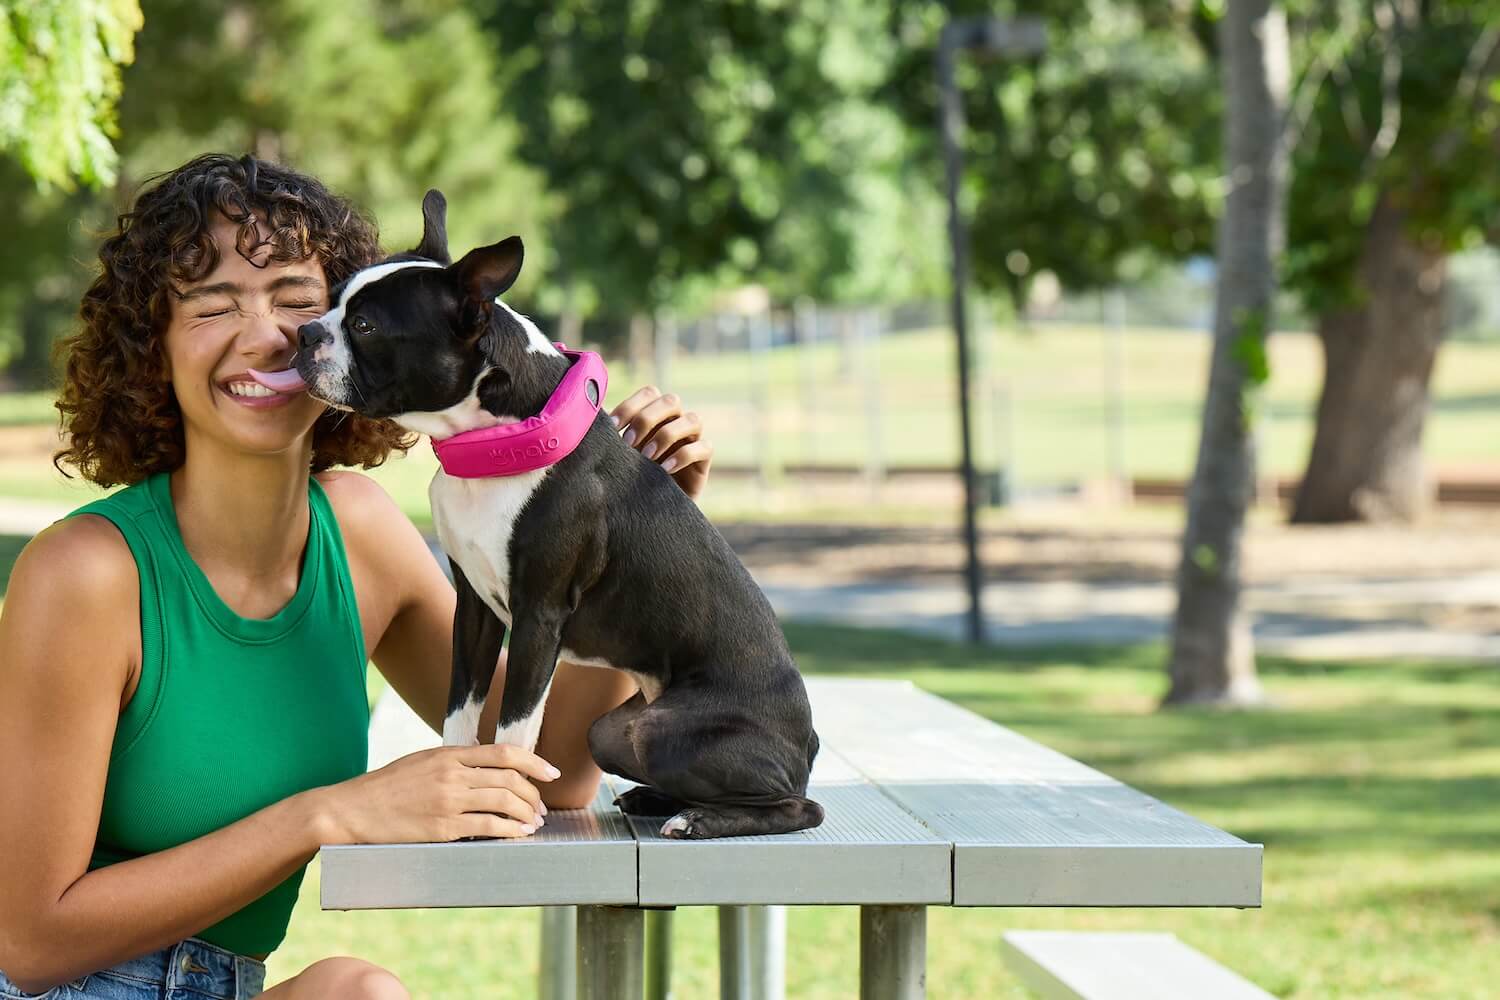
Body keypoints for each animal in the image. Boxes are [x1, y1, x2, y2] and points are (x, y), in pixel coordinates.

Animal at [289, 191, 822, 839]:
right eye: (330, 302)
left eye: (364, 326)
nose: (304, 332)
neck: (496, 442)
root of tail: (808, 743)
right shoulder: (474, 608)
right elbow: (460, 714)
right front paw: (456, 796)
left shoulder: (538, 616)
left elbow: (515, 729)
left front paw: (503, 817)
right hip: (614, 731)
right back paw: (656, 800)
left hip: (664, 730)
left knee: (798, 806)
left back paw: (697, 819)